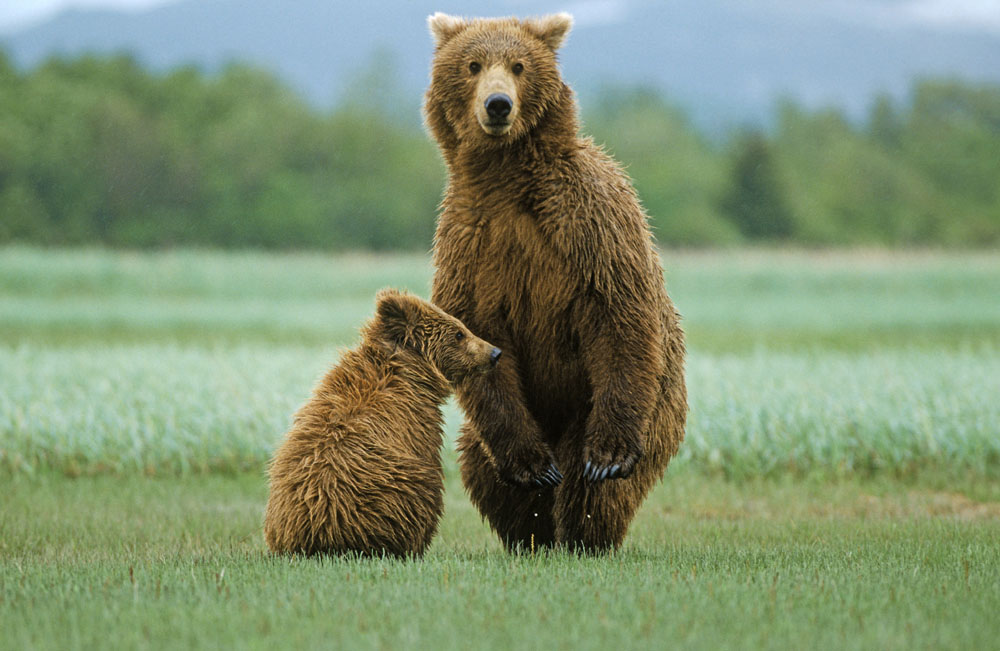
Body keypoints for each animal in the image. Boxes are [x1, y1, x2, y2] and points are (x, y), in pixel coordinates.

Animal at [264, 290, 500, 560]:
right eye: (459, 333)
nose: (495, 353)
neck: (410, 371)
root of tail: (318, 533)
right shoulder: (416, 425)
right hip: (380, 495)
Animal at [422, 12, 688, 552]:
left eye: (519, 66)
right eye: (473, 65)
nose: (497, 104)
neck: (506, 178)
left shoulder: (588, 220)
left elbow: (617, 311)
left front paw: (608, 457)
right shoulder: (469, 241)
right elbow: (477, 334)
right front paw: (532, 470)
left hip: (643, 404)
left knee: (594, 484)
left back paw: (586, 532)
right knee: (482, 468)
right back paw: (532, 531)